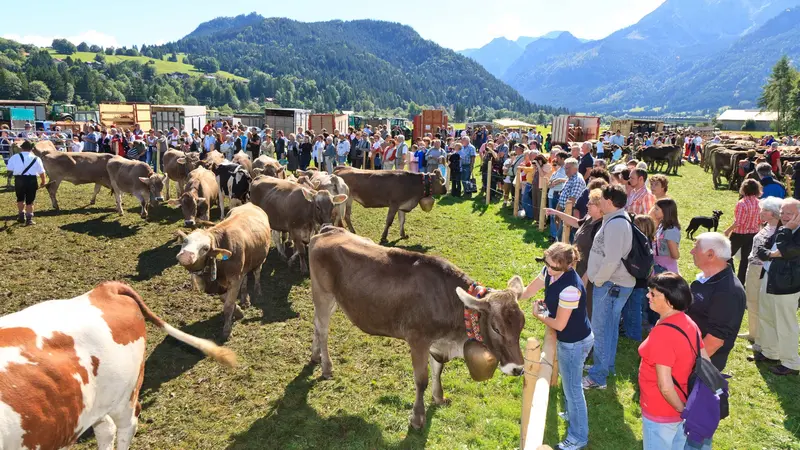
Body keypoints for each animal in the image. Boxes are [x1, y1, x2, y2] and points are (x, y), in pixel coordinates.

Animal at [173, 202, 270, 340]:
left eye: (205, 248)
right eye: (185, 241)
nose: (186, 255)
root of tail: (249, 203)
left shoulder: (234, 279)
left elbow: (228, 306)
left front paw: (227, 330)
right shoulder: (221, 285)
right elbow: (225, 300)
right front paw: (238, 311)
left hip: (260, 259)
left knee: (257, 273)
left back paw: (257, 291)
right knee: (245, 278)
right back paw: (245, 299)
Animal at [310, 227, 528, 430]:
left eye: (521, 326)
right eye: (496, 328)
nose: (518, 369)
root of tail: (330, 229)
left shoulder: (437, 343)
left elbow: (438, 370)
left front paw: (439, 398)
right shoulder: (418, 340)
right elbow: (421, 380)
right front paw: (417, 418)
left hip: (334, 299)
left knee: (316, 323)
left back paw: (315, 356)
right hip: (323, 293)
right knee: (323, 329)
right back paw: (327, 367)